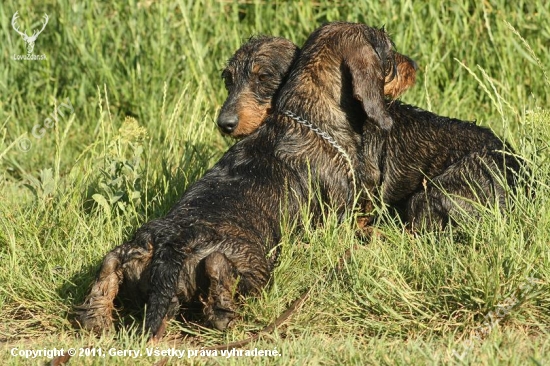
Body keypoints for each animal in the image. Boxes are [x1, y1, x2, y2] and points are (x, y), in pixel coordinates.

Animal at [75, 21, 416, 338]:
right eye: (388, 51)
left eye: (262, 77)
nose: (413, 65)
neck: (307, 117)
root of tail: (170, 247)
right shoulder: (341, 219)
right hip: (255, 262)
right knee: (220, 280)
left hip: (136, 251)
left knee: (109, 263)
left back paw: (95, 317)